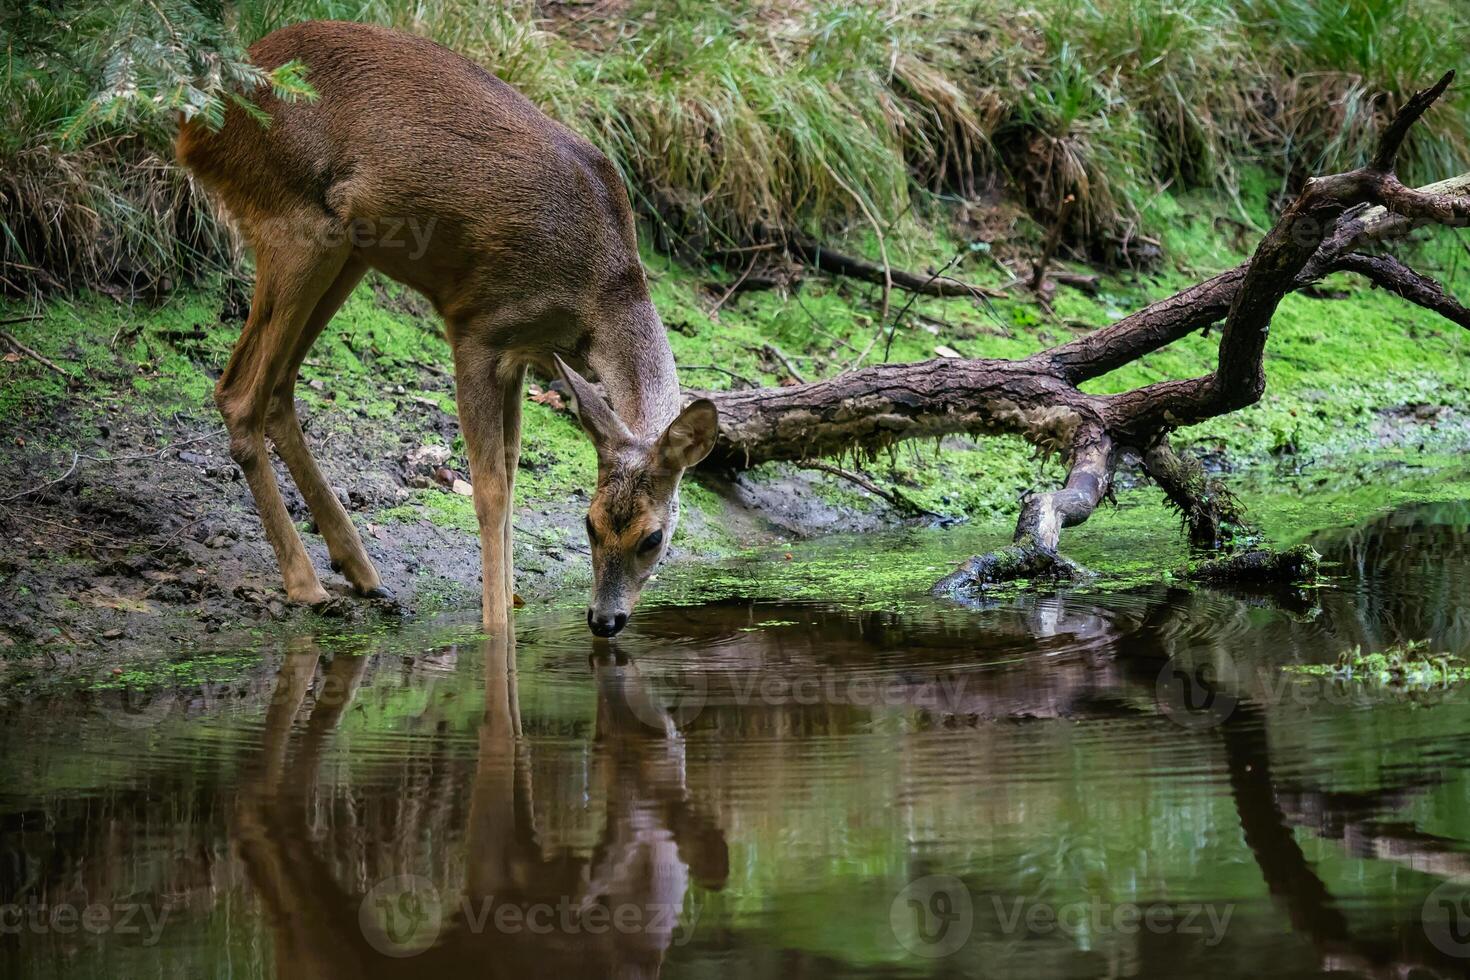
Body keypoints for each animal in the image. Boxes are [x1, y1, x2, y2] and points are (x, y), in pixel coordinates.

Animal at [176, 22, 717, 640]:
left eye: (652, 538)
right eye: (589, 523)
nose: (604, 620)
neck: (598, 291)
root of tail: (196, 122)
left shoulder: (523, 354)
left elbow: (512, 470)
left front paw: (512, 603)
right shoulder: (478, 326)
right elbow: (490, 491)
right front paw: (496, 629)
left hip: (347, 248)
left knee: (277, 389)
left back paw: (361, 570)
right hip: (294, 222)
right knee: (238, 392)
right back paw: (305, 583)